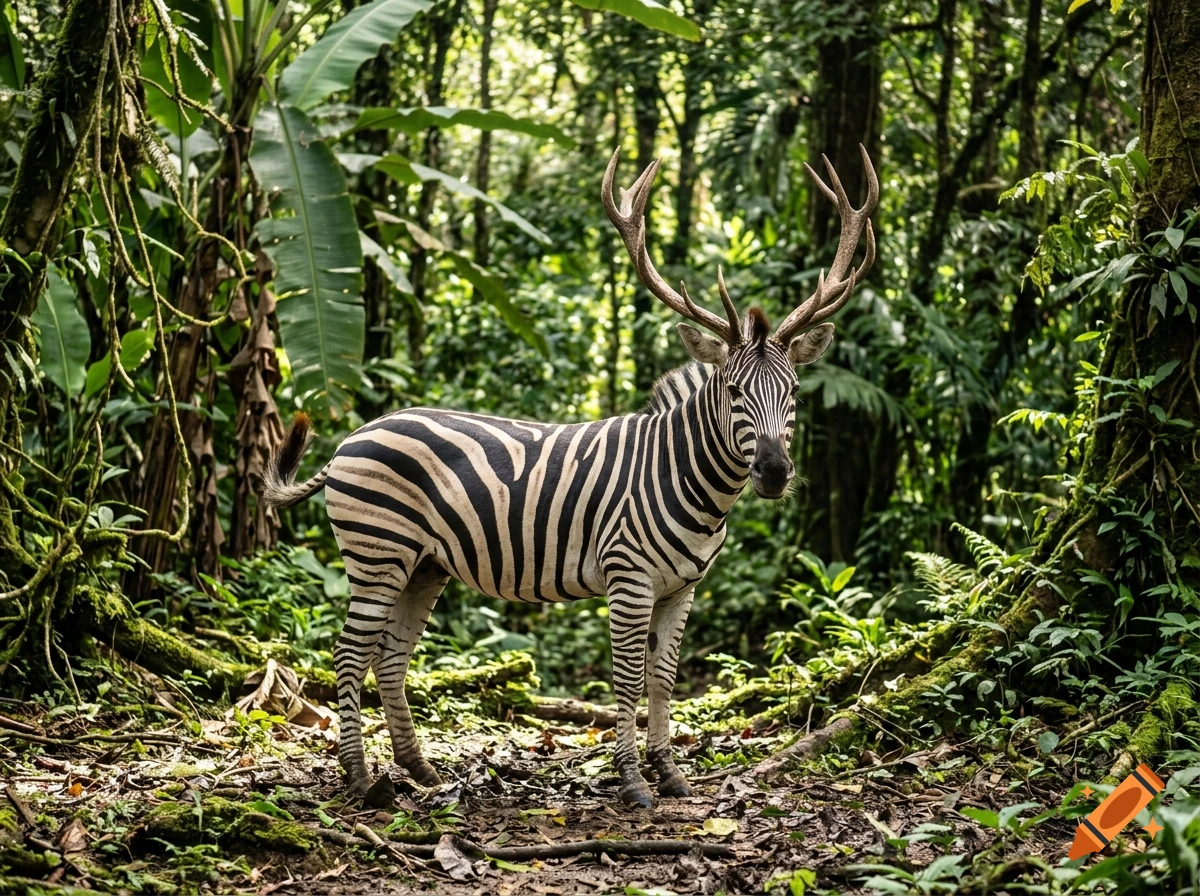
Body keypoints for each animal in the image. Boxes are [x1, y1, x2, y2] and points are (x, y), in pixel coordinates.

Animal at [262, 146, 878, 808]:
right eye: (735, 392)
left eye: (794, 393)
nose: (774, 473)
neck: (692, 482)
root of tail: (354, 436)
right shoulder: (629, 580)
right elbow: (628, 679)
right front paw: (633, 782)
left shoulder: (681, 588)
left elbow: (664, 678)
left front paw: (670, 774)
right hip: (379, 553)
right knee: (350, 654)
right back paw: (361, 779)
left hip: (424, 565)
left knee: (390, 656)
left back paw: (419, 769)